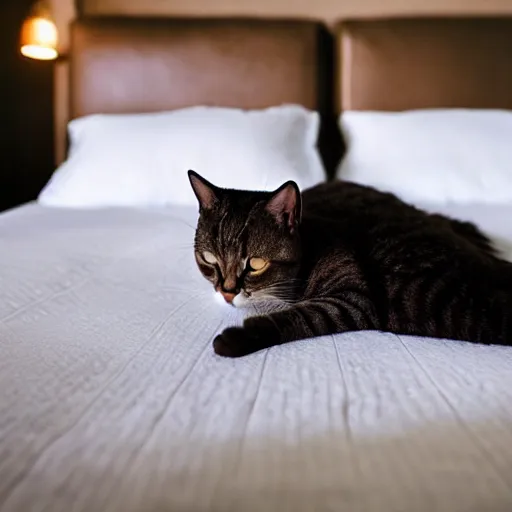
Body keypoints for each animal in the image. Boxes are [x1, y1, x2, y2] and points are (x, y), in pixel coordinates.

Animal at [187, 170, 512, 358]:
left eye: (255, 263)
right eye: (209, 259)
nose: (227, 291)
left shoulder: (353, 300)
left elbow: (299, 316)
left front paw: (236, 338)